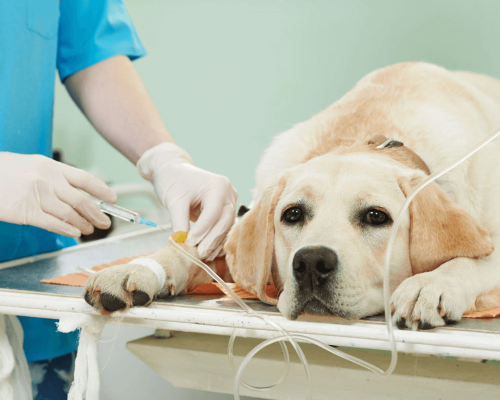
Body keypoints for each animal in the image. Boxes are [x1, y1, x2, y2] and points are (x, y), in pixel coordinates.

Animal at [87, 62, 500, 330]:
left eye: (376, 216)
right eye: (293, 214)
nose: (312, 263)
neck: (367, 136)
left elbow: (471, 260)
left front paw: (431, 284)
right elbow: (189, 249)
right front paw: (137, 267)